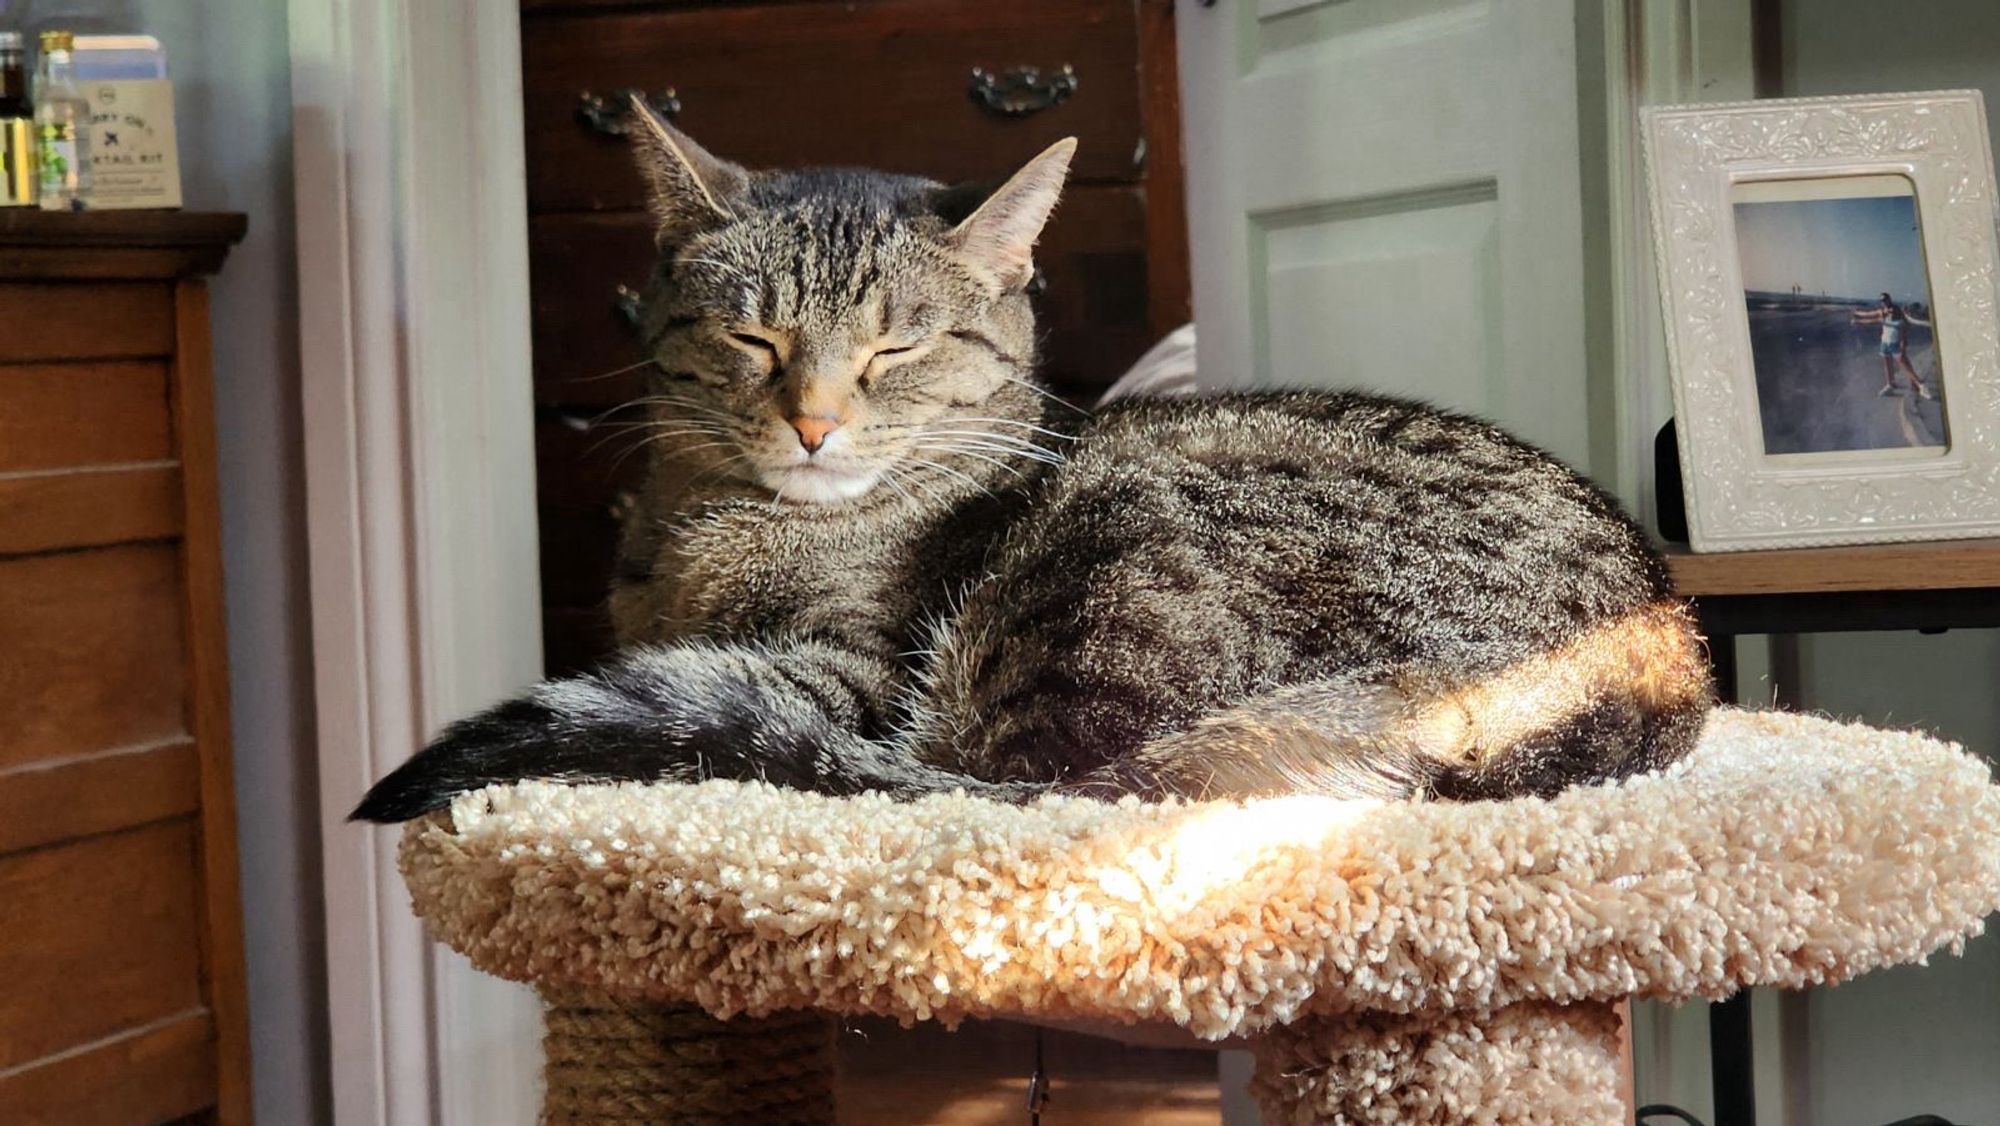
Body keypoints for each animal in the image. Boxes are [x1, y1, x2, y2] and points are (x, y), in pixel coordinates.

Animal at [352, 106, 1712, 824]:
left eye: (895, 345)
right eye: (753, 338)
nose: (811, 422)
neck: (709, 541)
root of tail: (1659, 671)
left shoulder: (850, 672)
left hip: (1098, 571)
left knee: (1001, 779)